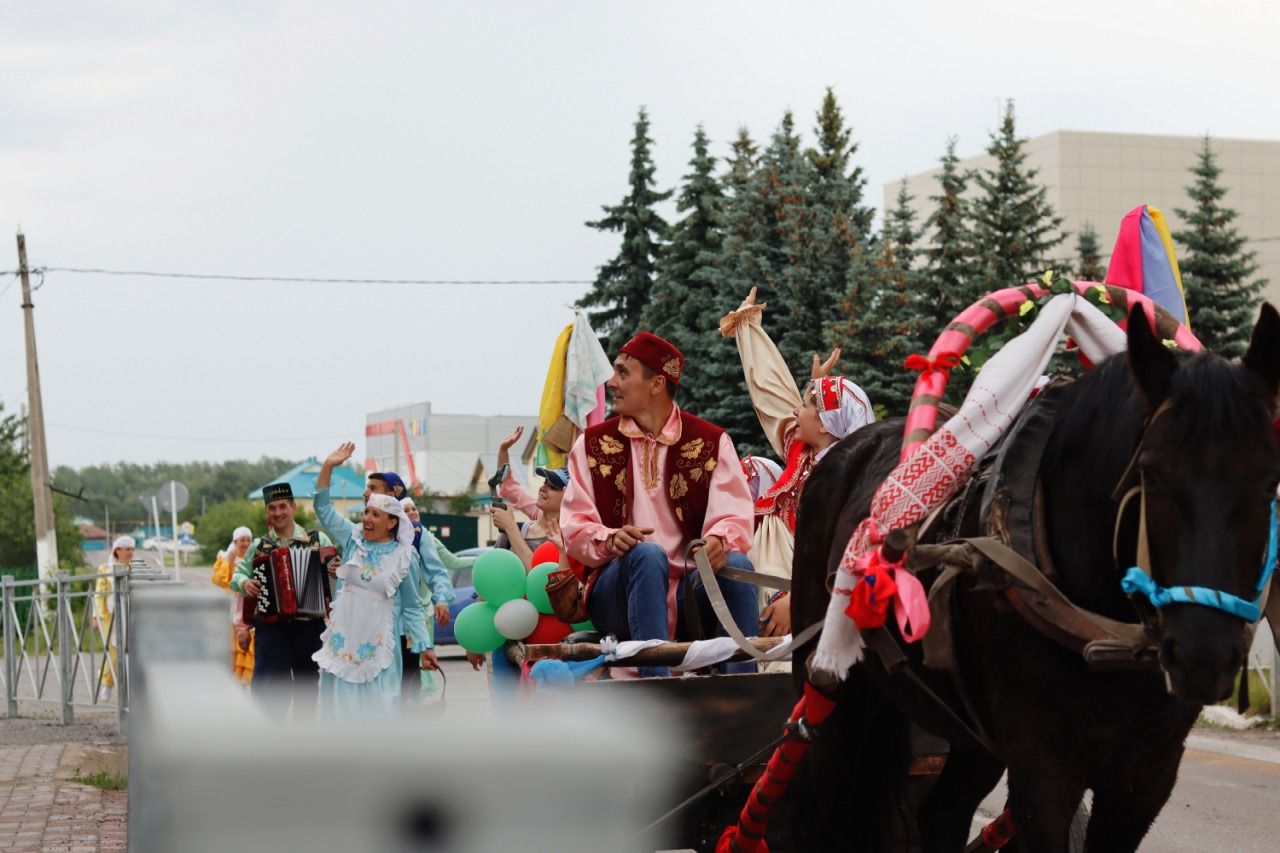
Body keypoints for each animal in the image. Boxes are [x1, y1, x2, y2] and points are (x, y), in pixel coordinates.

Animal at [788, 302, 1280, 845]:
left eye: (1270, 480)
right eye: (1149, 472)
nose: (1204, 654)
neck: (1107, 633)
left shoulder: (1148, 774)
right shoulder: (1044, 767)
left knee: (940, 814)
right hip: (834, 688)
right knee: (824, 803)